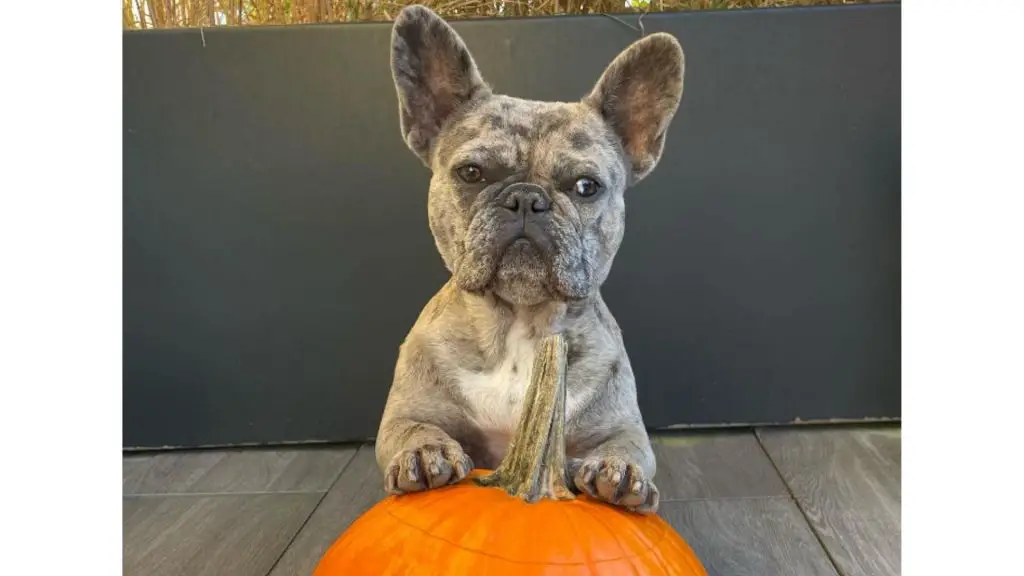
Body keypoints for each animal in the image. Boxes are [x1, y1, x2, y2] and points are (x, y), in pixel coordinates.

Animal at [372, 5, 684, 510]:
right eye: (471, 173)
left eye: (586, 186)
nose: (526, 199)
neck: (519, 327)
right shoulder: (407, 411)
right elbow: (413, 427)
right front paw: (424, 453)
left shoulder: (623, 426)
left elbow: (626, 446)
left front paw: (618, 471)